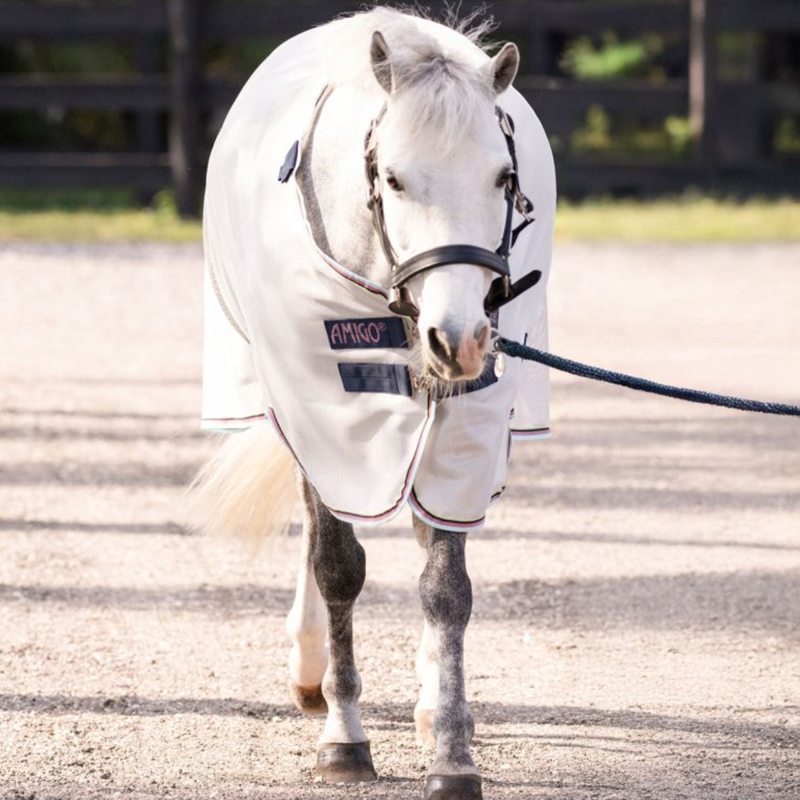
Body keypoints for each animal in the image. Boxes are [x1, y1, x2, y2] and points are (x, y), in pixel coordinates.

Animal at [192, 7, 555, 799]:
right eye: (393, 177)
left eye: (504, 177)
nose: (460, 338)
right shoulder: (319, 405)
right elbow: (337, 564)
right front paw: (343, 737)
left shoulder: (464, 423)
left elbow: (446, 586)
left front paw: (452, 749)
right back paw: (310, 670)